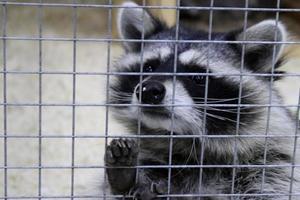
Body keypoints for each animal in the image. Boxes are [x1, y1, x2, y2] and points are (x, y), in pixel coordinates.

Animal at [104, 1, 298, 200]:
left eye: (198, 77)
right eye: (149, 68)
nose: (149, 91)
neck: (185, 142)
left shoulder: (273, 166)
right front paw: (125, 181)